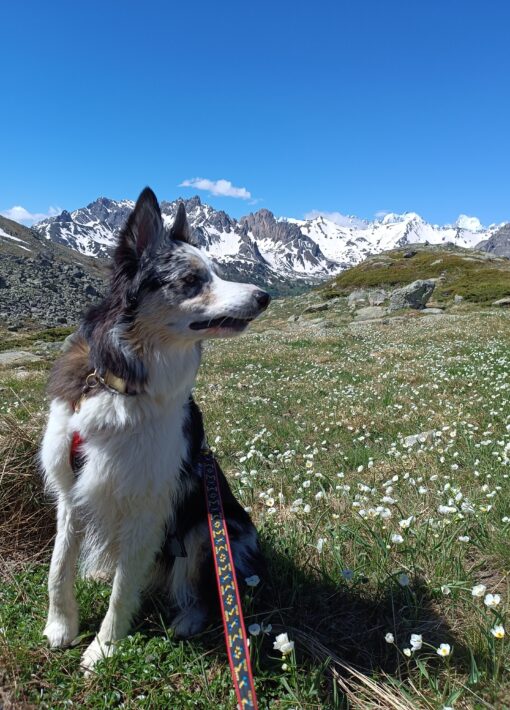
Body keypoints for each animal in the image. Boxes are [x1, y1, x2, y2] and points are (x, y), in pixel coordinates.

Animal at [39, 188, 268, 672]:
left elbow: (124, 588)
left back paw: (187, 620)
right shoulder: (70, 488)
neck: (123, 380)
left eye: (216, 271)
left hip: (207, 527)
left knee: (206, 591)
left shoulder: (147, 503)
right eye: (192, 278)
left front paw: (103, 648)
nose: (265, 296)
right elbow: (57, 565)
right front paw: (61, 627)